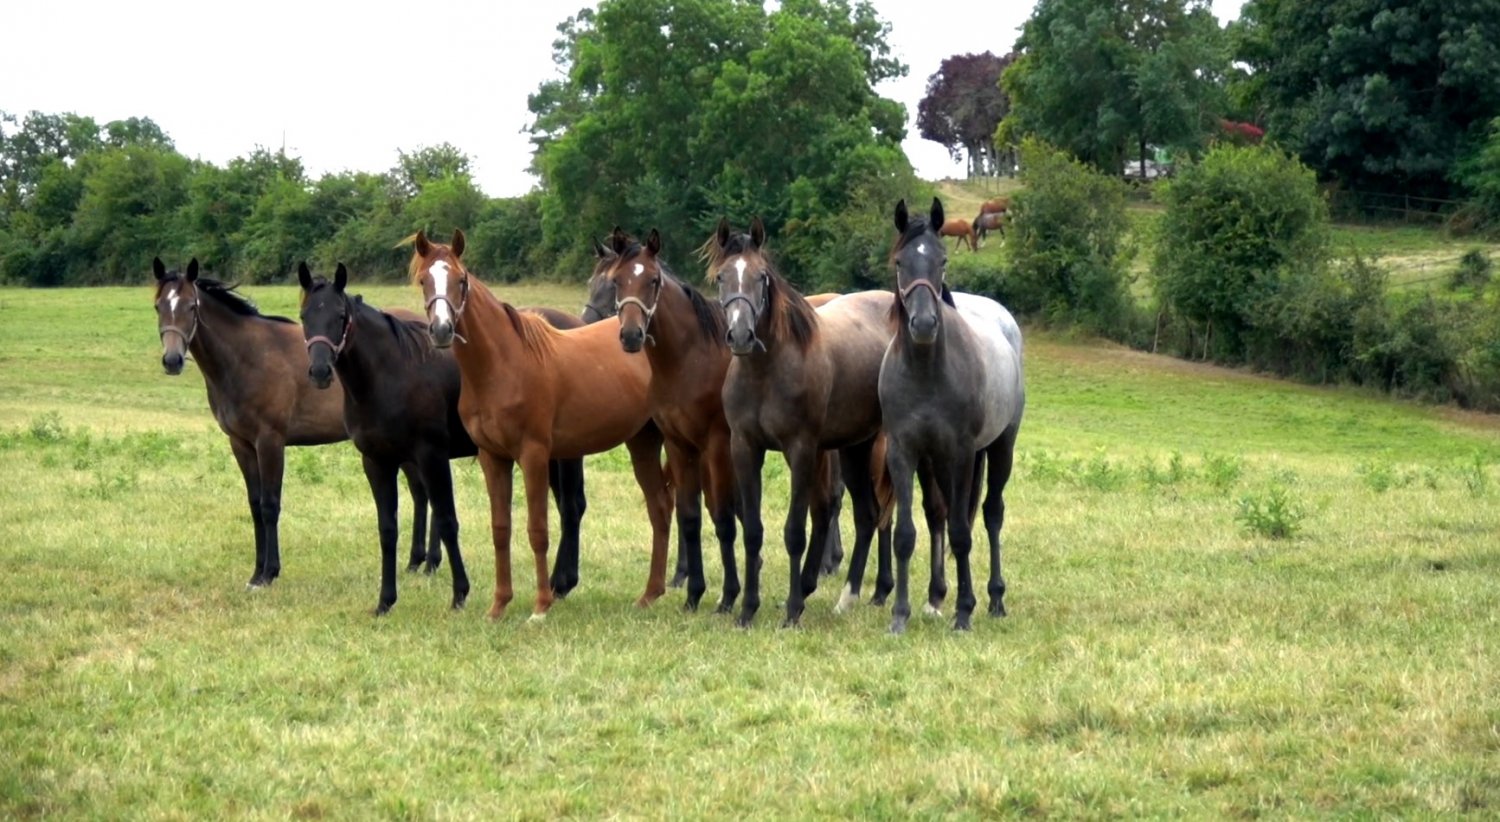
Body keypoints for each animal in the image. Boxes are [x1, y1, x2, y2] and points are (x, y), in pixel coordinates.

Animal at [152, 258, 436, 589]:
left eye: (191, 306)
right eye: (159, 306)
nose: (172, 360)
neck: (246, 356)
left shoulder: (270, 441)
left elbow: (270, 505)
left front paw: (269, 573)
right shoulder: (241, 444)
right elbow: (254, 504)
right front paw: (256, 572)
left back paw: (430, 563)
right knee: (420, 493)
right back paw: (417, 562)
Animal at [411, 229, 673, 621]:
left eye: (461, 280)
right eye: (424, 280)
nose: (442, 330)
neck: (503, 365)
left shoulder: (534, 456)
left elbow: (537, 529)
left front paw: (540, 606)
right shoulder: (493, 457)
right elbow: (500, 529)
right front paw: (498, 605)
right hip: (642, 442)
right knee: (660, 507)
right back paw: (651, 593)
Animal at [604, 227, 739, 612]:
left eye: (653, 279)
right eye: (616, 281)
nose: (631, 335)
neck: (691, 359)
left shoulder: (717, 446)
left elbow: (723, 518)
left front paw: (728, 597)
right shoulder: (680, 446)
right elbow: (690, 516)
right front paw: (694, 595)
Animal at [710, 217, 892, 628]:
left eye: (761, 276)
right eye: (721, 277)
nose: (741, 335)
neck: (766, 370)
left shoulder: (801, 450)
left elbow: (795, 531)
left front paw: (792, 611)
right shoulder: (744, 447)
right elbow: (753, 531)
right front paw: (747, 609)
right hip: (854, 449)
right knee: (867, 515)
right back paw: (846, 599)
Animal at [882, 197, 1025, 633]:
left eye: (942, 259)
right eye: (900, 262)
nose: (924, 324)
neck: (926, 371)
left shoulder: (958, 454)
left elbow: (962, 531)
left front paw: (964, 611)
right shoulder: (904, 452)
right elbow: (905, 534)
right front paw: (900, 615)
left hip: (999, 448)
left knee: (991, 513)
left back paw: (995, 598)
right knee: (943, 515)